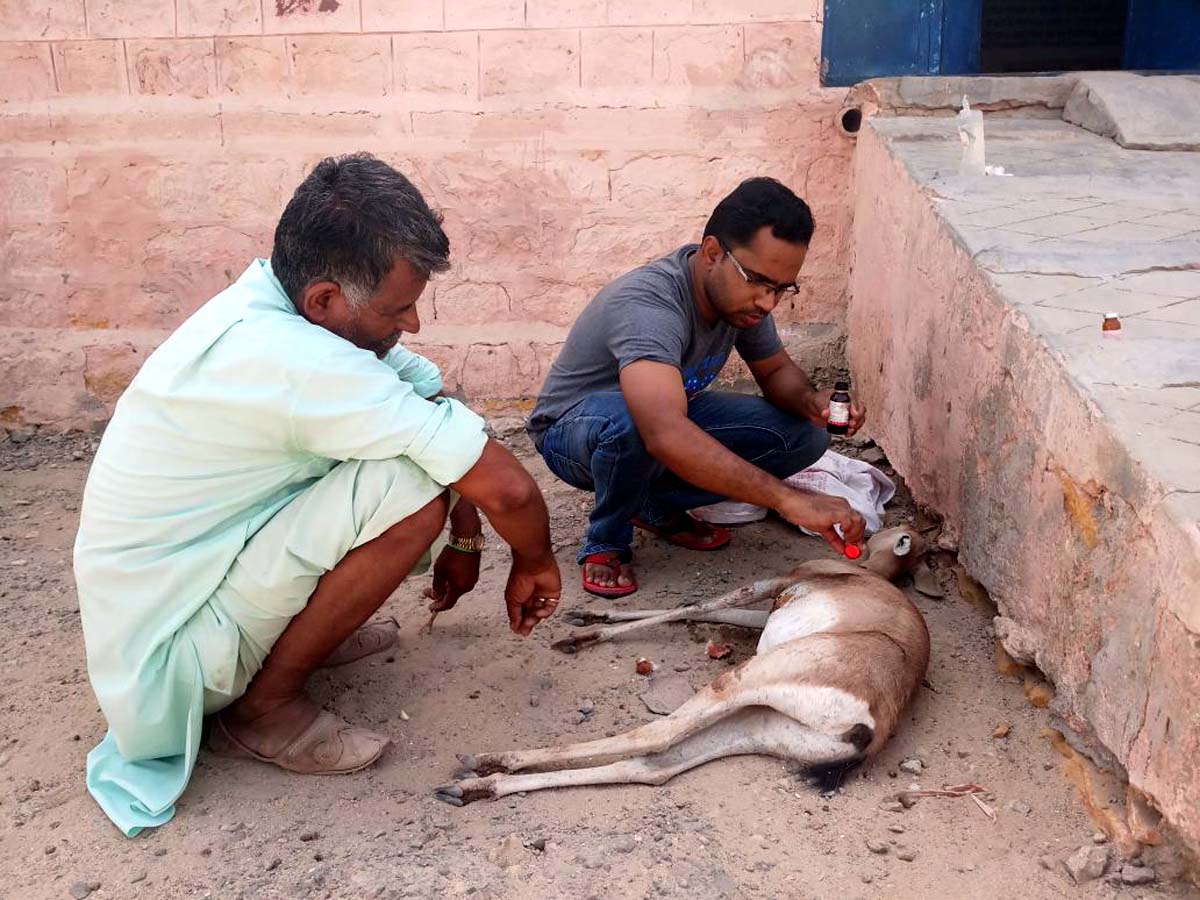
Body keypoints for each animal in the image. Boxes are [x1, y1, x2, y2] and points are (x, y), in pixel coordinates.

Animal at [435, 526, 930, 806]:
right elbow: (704, 610)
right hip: (757, 724)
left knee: (653, 735)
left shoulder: (774, 582)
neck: (869, 577)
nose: (859, 534)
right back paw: (476, 788)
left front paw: (586, 632)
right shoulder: (768, 609)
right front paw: (592, 618)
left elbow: (705, 603)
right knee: (655, 766)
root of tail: (874, 727)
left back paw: (488, 761)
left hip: (739, 684)